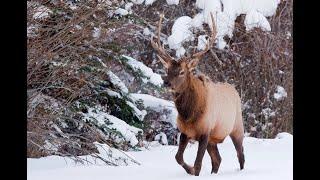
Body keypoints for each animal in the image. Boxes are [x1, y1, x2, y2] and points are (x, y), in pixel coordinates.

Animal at [150, 13, 245, 176]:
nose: (166, 82)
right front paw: (189, 169)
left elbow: (198, 164)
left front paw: (193, 169)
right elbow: (178, 157)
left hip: (237, 127)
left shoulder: (205, 132)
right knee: (217, 159)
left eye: (182, 72)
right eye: (167, 69)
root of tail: (234, 91)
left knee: (241, 155)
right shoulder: (185, 132)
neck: (189, 115)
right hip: (213, 140)